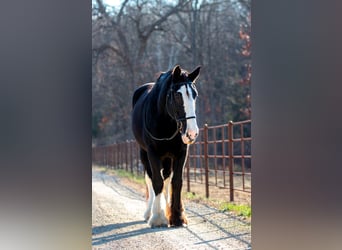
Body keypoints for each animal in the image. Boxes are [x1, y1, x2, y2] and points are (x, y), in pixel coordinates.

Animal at [131, 65, 200, 228]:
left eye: (195, 95)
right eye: (177, 96)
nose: (192, 133)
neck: (165, 122)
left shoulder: (181, 153)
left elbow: (176, 182)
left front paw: (177, 217)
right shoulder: (153, 153)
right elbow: (157, 181)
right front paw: (157, 217)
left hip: (167, 158)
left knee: (167, 180)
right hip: (144, 154)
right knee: (150, 179)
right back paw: (149, 213)